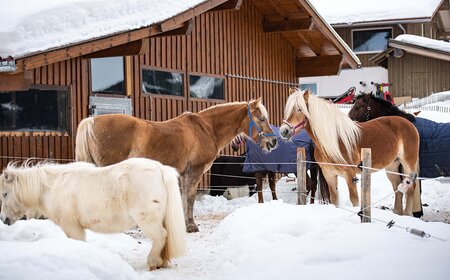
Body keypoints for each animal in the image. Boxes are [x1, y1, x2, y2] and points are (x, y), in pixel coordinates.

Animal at [0, 158, 186, 270]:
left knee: (161, 236)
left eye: (4, 194)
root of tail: (160, 169)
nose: (3, 219)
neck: (52, 186)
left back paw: (153, 262)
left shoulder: (72, 227)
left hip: (148, 220)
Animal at [280, 89, 420, 217]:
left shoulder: (350, 176)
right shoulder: (329, 175)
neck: (334, 141)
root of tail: (408, 123)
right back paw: (397, 213)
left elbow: (354, 200)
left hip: (408, 163)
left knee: (411, 187)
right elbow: (334, 199)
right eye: (287, 110)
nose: (284, 131)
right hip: (392, 166)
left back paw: (408, 214)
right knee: (397, 187)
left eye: (299, 109)